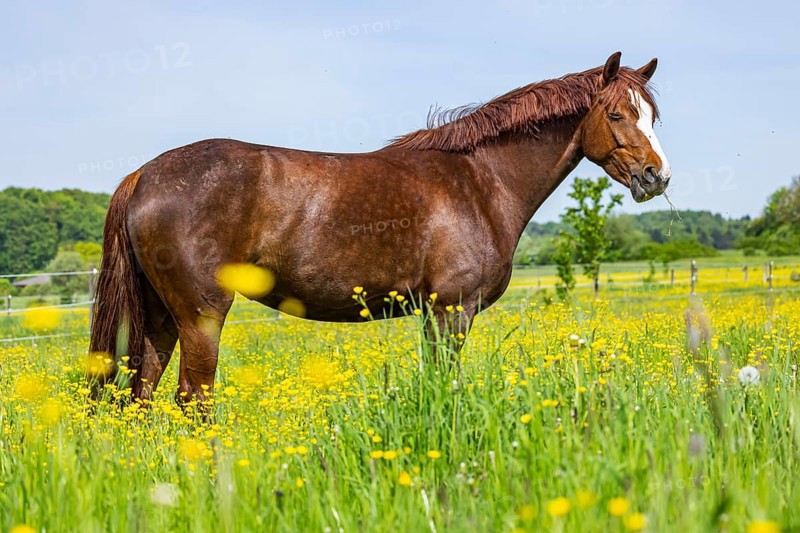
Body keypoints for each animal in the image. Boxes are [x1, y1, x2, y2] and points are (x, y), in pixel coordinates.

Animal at [89, 51, 671, 405]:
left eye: (652, 116)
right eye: (616, 115)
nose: (656, 176)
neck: (480, 180)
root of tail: (144, 174)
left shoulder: (432, 314)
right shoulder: (451, 311)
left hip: (161, 316)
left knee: (143, 393)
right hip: (202, 315)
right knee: (192, 399)